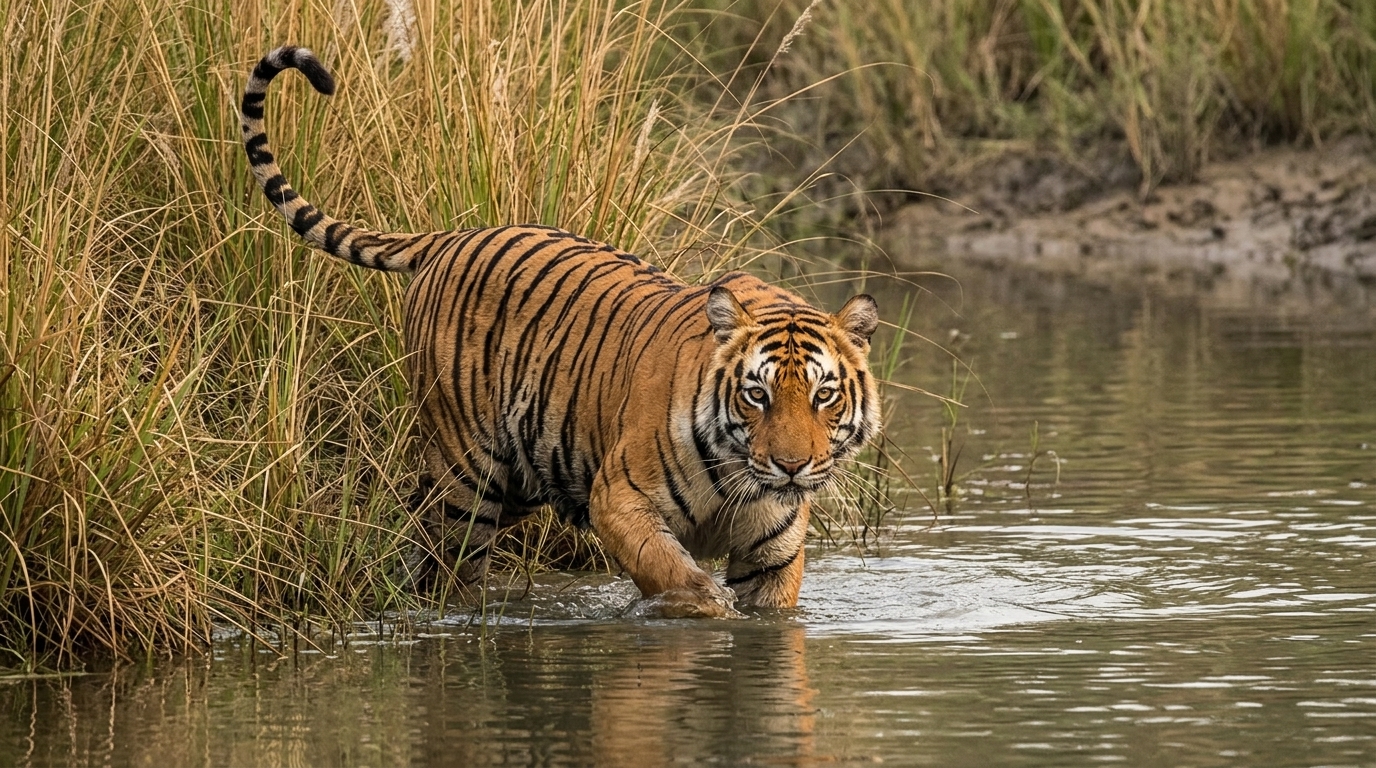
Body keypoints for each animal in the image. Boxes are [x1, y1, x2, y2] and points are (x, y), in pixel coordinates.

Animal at [240, 46, 881, 617]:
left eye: (824, 395)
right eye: (757, 395)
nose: (792, 467)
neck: (740, 479)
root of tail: (448, 236)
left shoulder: (771, 556)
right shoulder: (619, 498)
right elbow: (676, 575)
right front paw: (702, 605)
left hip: (523, 475)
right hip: (468, 474)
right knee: (450, 559)